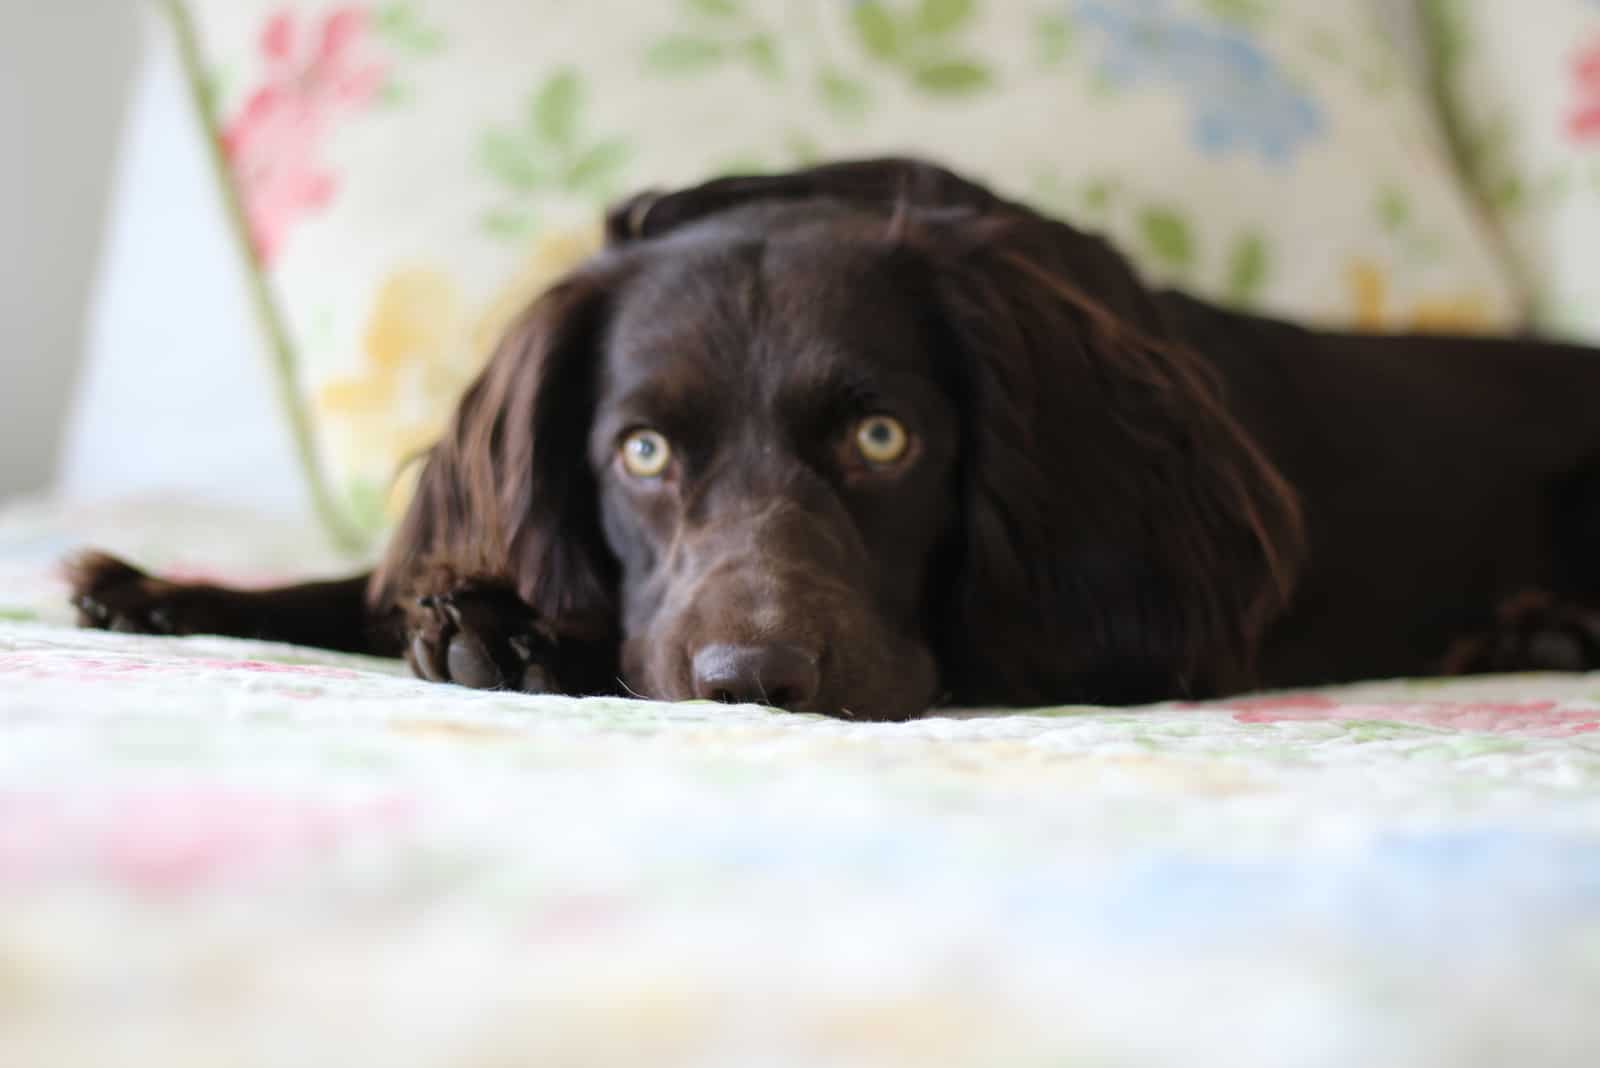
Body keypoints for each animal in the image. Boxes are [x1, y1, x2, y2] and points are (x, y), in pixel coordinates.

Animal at [65, 158, 1600, 722]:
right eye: (641, 454)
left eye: (881, 438)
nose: (753, 682)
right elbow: (365, 585)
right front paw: (163, 591)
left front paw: (523, 635)